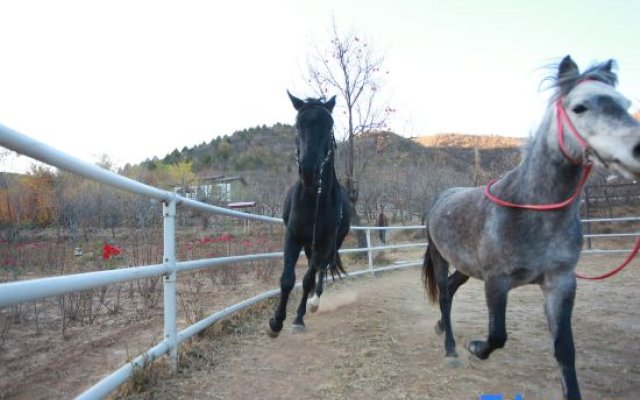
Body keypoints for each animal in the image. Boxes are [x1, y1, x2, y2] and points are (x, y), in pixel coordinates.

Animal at [268, 91, 352, 338]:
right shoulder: (293, 237)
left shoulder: (322, 243)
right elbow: (287, 279)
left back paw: (314, 302)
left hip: (331, 244)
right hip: (308, 244)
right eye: (298, 125)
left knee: (322, 270)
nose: (308, 171)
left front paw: (297, 318)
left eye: (330, 125)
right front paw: (276, 322)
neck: (314, 198)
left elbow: (307, 279)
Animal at [424, 57, 640, 400]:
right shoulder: (496, 281)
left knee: (452, 289)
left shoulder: (560, 283)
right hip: (440, 258)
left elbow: (565, 350)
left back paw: (441, 327)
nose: (637, 149)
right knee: (445, 295)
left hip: (467, 266)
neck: (529, 212)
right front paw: (475, 347)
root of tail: (440, 198)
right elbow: (497, 335)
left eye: (625, 104)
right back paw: (451, 348)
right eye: (580, 107)